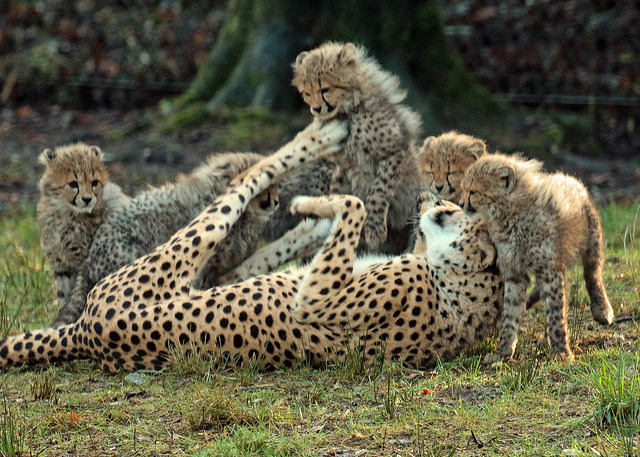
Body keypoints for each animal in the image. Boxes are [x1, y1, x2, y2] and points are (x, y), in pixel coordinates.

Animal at [0, 120, 504, 370]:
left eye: (459, 212)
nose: (432, 199)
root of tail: (85, 334)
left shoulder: (315, 300)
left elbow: (355, 204)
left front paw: (322, 203)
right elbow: (360, 211)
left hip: (168, 259)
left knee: (243, 183)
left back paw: (317, 142)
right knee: (248, 235)